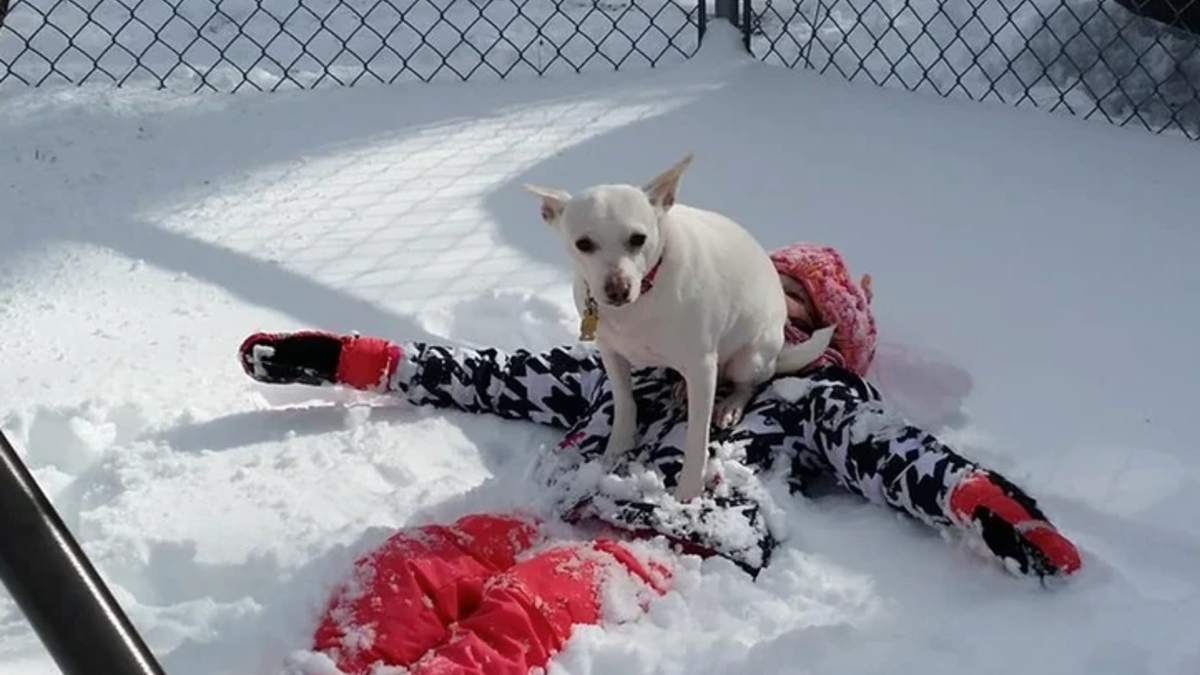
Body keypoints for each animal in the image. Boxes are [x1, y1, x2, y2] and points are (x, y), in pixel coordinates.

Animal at [525, 153, 835, 499]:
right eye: (583, 244)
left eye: (638, 239)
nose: (617, 289)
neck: (643, 296)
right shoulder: (611, 353)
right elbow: (624, 402)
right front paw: (617, 449)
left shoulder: (702, 367)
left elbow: (697, 437)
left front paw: (689, 491)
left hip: (750, 358)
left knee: (750, 383)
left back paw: (729, 405)